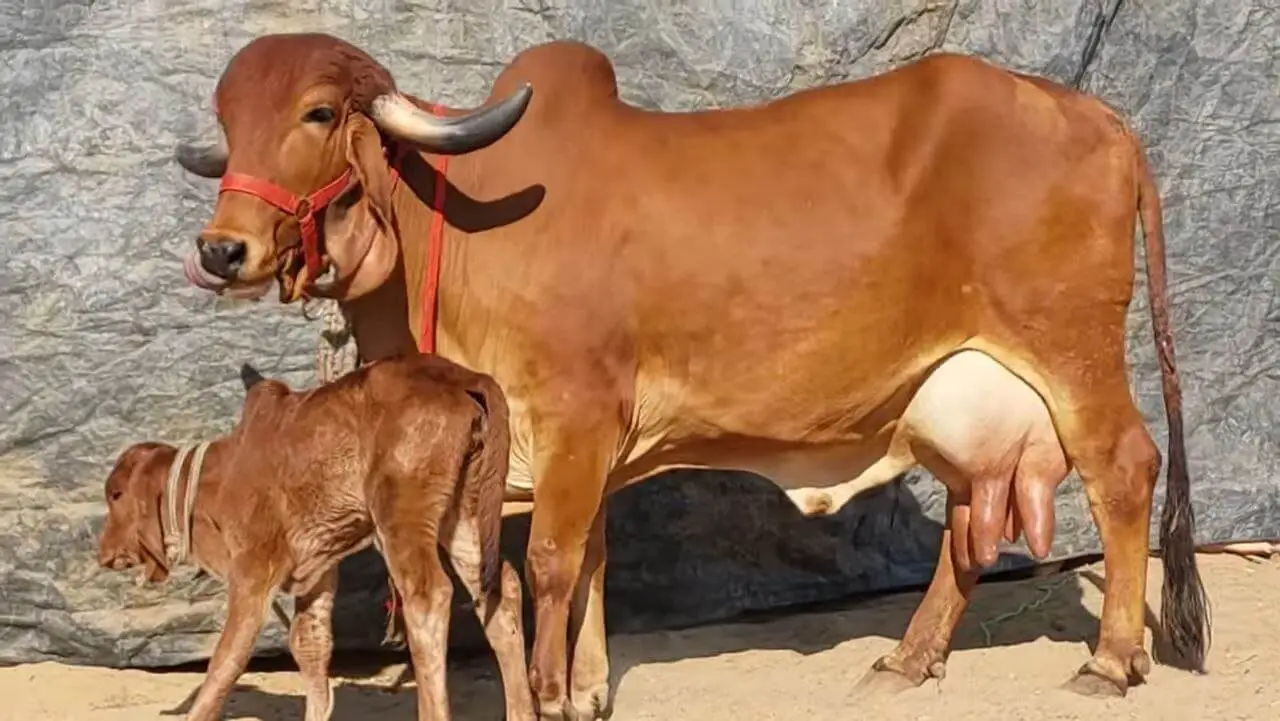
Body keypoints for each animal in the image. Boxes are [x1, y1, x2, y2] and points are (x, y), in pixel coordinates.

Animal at [96, 355, 534, 721]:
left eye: (115, 494)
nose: (103, 553)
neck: (216, 481)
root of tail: (463, 377)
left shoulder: (253, 575)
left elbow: (225, 661)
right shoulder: (318, 572)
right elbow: (310, 644)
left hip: (402, 517)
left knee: (429, 597)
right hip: (466, 513)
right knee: (500, 590)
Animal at [169, 32, 1210, 720]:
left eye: (316, 112)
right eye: (226, 121)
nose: (221, 250)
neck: (454, 227)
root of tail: (1101, 117)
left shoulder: (575, 413)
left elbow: (553, 561)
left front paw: (551, 692)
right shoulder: (572, 445)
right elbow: (592, 553)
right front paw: (588, 689)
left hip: (1073, 350)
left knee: (1124, 467)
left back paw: (1112, 659)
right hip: (954, 392)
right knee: (971, 517)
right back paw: (908, 660)